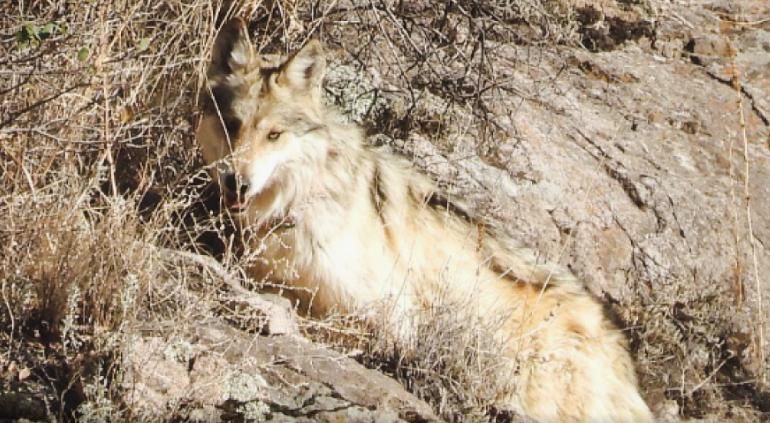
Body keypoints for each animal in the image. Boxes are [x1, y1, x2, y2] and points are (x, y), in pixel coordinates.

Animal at [196, 18, 654, 422]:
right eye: (232, 125)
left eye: (274, 135)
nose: (236, 182)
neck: (298, 202)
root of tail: (623, 356)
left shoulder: (389, 320)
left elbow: (317, 316)